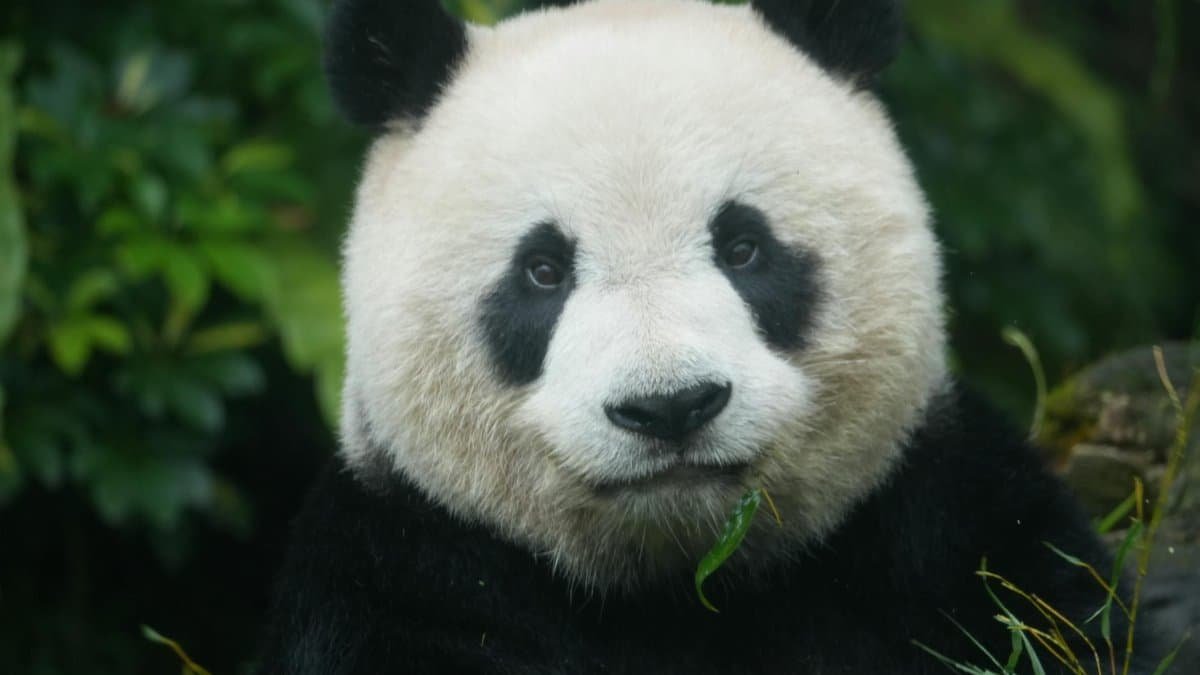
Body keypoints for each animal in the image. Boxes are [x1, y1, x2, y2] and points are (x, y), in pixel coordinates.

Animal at [257, 0, 1155, 673]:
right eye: (543, 270)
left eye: (743, 246)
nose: (670, 407)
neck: (680, 586)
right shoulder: (406, 575)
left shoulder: (945, 529)